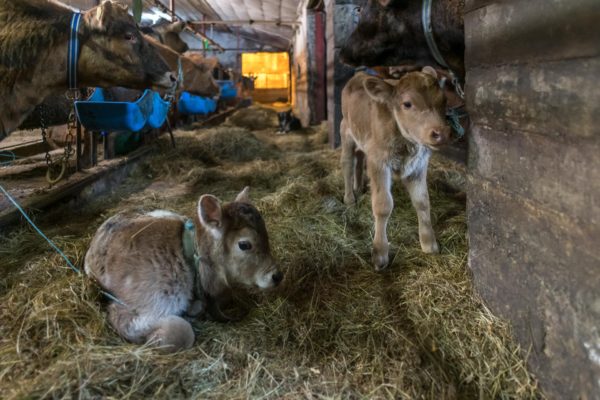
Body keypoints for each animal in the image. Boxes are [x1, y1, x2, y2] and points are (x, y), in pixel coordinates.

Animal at [342, 67, 450, 270]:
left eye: (444, 100)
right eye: (407, 104)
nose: (441, 133)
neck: (407, 145)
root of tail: (358, 75)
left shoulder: (419, 164)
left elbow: (423, 201)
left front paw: (429, 243)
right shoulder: (378, 161)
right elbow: (383, 205)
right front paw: (380, 254)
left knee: (359, 159)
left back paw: (359, 187)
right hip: (346, 131)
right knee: (348, 165)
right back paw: (350, 198)